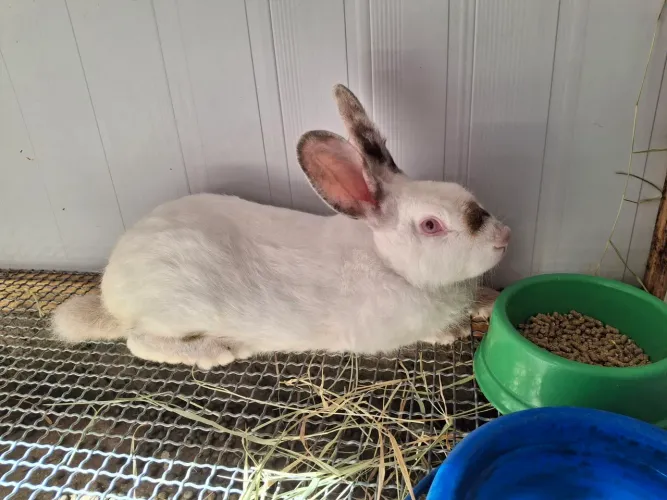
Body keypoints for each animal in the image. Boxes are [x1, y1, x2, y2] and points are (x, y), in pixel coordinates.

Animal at [51, 84, 511, 369]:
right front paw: (451, 332)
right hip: (171, 311)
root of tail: (111, 295)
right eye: (431, 225)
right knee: (138, 340)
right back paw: (215, 351)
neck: (389, 263)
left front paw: (486, 301)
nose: (505, 237)